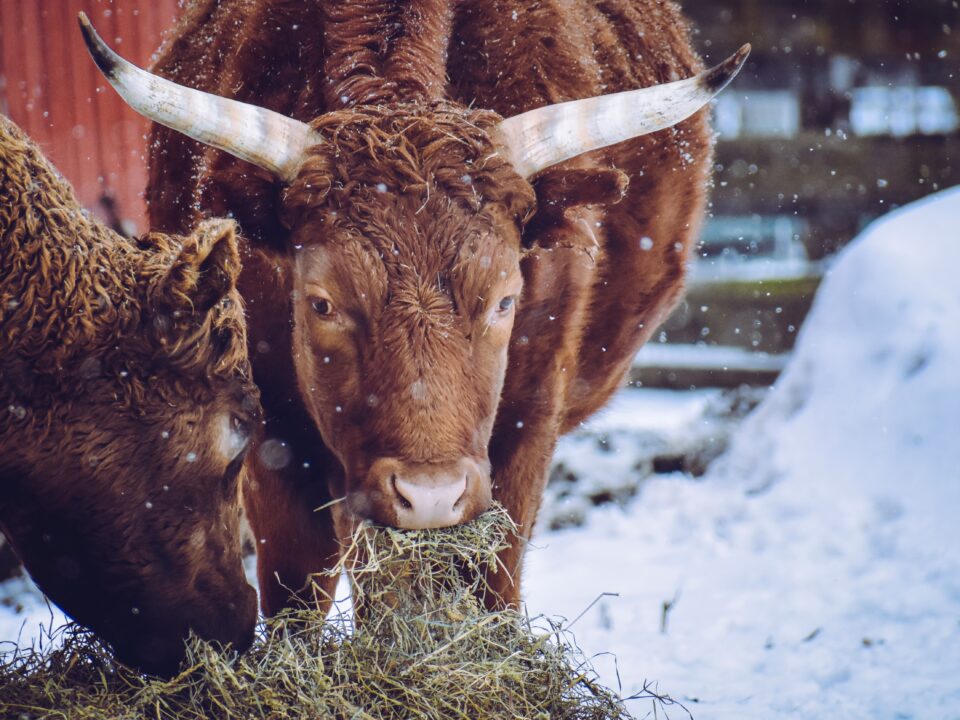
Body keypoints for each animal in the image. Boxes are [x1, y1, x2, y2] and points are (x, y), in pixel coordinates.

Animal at [79, 2, 748, 616]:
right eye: (322, 302)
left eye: (505, 299)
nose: (430, 494)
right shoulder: (274, 433)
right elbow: (300, 592)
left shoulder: (530, 421)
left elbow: (495, 587)